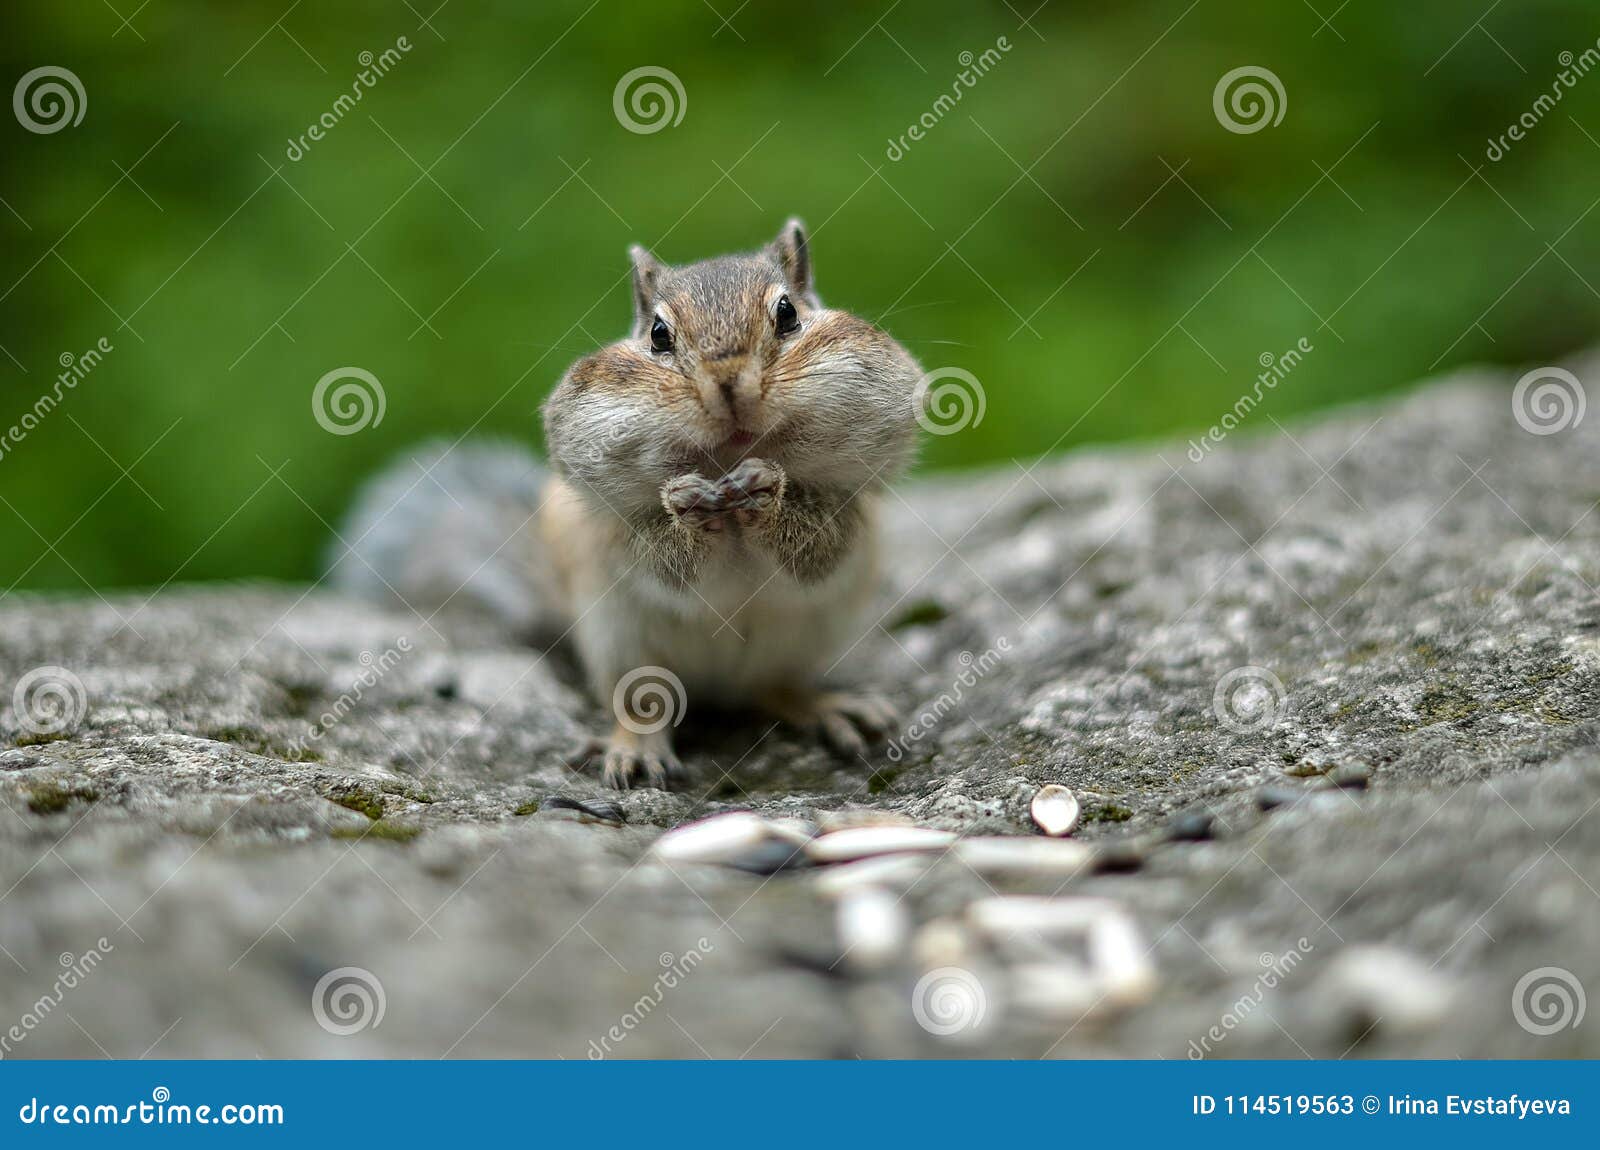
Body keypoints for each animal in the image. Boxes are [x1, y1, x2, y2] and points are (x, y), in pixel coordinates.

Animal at [331, 220, 924, 789]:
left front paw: (767, 492)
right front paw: (685, 508)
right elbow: (662, 561)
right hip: (618, 641)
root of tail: (717, 686)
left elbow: (817, 550)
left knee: (773, 688)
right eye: (659, 334)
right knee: (645, 704)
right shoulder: (616, 529)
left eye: (787, 314)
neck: (725, 467)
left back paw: (825, 706)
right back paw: (636, 748)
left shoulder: (846, 506)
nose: (729, 381)